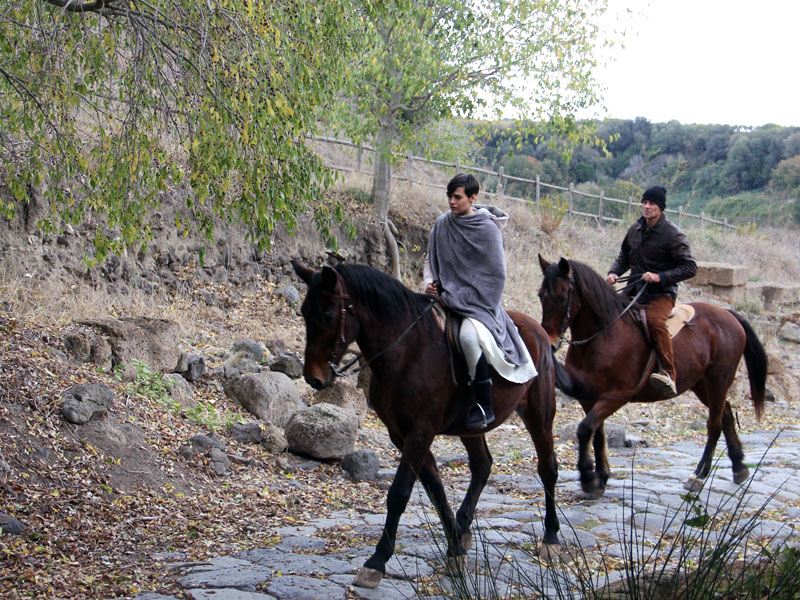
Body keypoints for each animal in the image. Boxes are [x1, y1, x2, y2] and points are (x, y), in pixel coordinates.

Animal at [292, 261, 561, 589]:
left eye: (329, 314)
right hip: (471, 427)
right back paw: (464, 528)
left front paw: (376, 562)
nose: (313, 377)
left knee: (547, 469)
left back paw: (551, 538)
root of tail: (538, 330)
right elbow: (435, 490)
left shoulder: (420, 433)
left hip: (539, 415)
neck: (408, 351)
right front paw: (455, 549)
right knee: (482, 465)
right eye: (304, 313)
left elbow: (399, 494)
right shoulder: (402, 434)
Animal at [537, 256, 767, 498]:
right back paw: (739, 467)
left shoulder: (616, 396)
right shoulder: (588, 398)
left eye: (562, 297)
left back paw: (699, 475)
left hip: (718, 381)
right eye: (541, 295)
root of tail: (728, 315)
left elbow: (584, 429)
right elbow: (596, 434)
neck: (604, 335)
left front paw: (589, 478)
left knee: (714, 425)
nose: (549, 343)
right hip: (702, 385)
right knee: (727, 414)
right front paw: (600, 477)